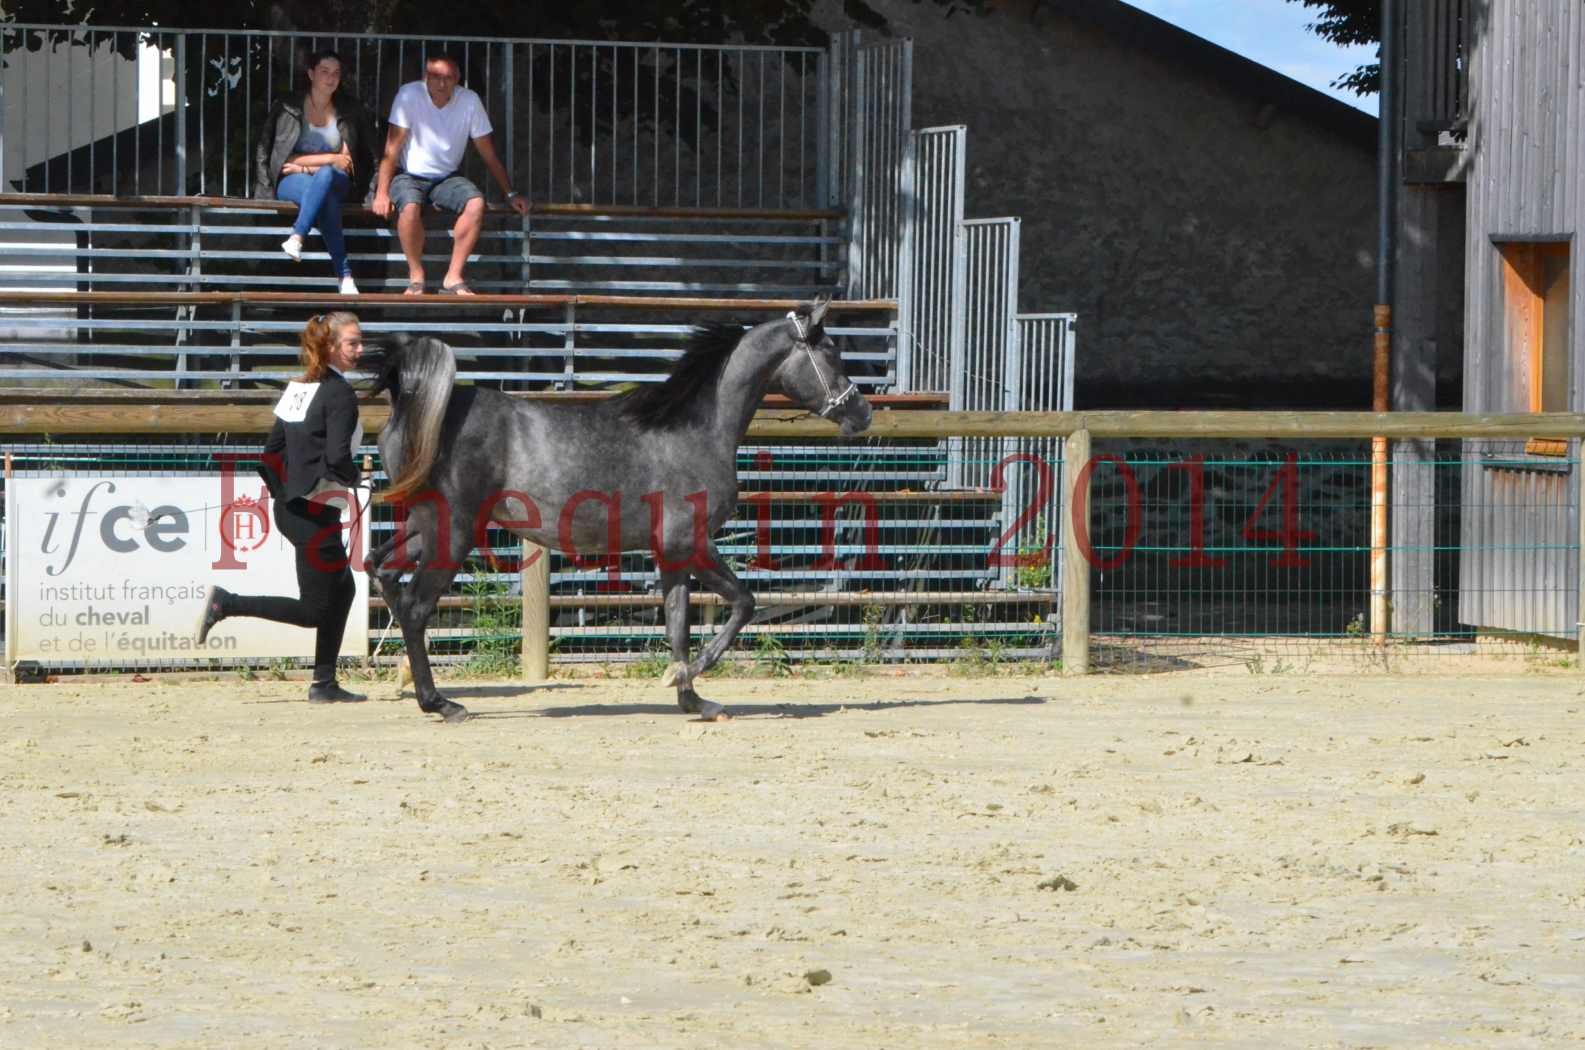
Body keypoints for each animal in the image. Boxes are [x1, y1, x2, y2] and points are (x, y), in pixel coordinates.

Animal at [364, 298, 874, 723]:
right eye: (831, 353)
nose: (863, 414)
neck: (694, 429)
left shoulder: (671, 555)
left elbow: (677, 623)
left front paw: (692, 698)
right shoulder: (691, 543)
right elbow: (744, 603)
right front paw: (688, 675)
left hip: (424, 526)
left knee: (381, 570)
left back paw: (409, 681)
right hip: (454, 530)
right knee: (415, 606)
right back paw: (441, 703)